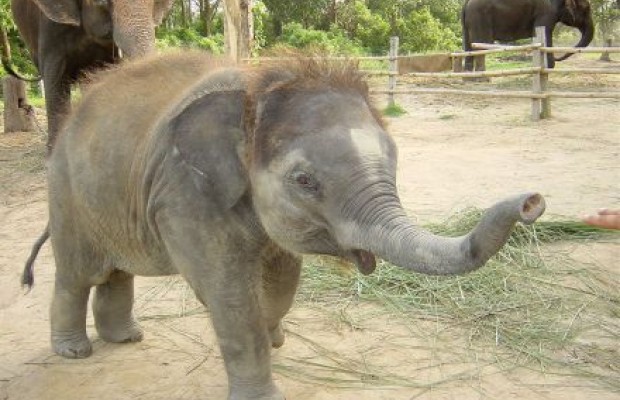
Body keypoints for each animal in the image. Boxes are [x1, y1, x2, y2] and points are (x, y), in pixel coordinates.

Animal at [23, 51, 546, 400]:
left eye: (395, 161)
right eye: (305, 181)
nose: (532, 201)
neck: (258, 86)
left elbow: (282, 279)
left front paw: (276, 338)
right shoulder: (183, 195)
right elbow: (229, 295)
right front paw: (263, 388)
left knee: (115, 272)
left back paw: (127, 339)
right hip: (65, 193)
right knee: (78, 274)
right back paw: (74, 352)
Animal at [461, 0, 594, 71]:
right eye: (586, 9)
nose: (557, 58)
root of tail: (466, 3)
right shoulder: (546, 12)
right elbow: (545, 33)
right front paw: (549, 67)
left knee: (468, 46)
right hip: (480, 18)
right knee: (480, 44)